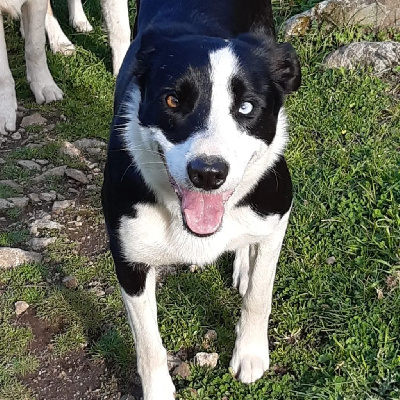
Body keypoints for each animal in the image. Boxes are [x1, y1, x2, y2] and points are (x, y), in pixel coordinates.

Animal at [102, 0, 300, 396]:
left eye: (246, 108)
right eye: (173, 100)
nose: (208, 173)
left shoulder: (277, 210)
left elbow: (260, 293)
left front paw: (250, 355)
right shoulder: (129, 259)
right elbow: (147, 340)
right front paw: (158, 391)